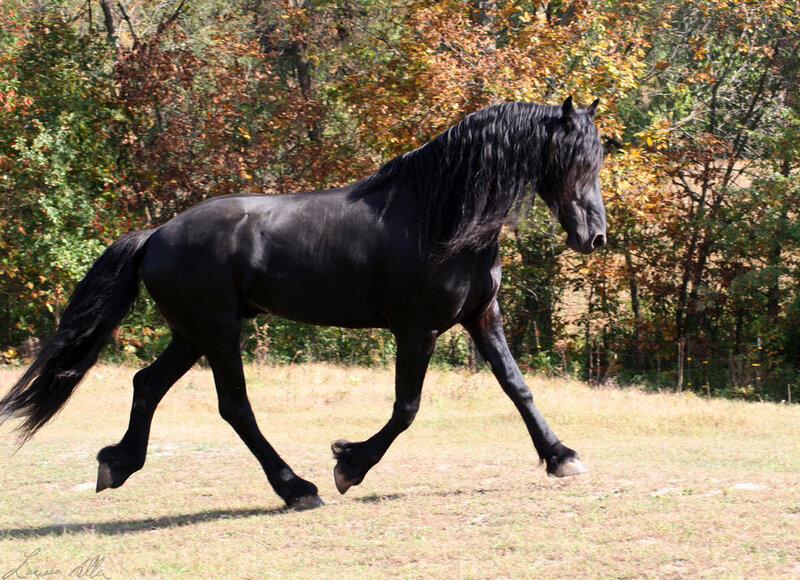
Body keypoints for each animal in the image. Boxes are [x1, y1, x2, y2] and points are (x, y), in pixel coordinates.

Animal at [1, 97, 606, 510]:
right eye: (572, 159)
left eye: (597, 159)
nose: (594, 237)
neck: (438, 217)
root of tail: (157, 235)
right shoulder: (417, 330)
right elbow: (406, 409)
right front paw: (349, 465)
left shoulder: (481, 316)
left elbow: (517, 386)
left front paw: (562, 457)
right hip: (218, 333)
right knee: (235, 407)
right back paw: (297, 488)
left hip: (192, 334)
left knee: (147, 385)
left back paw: (118, 463)